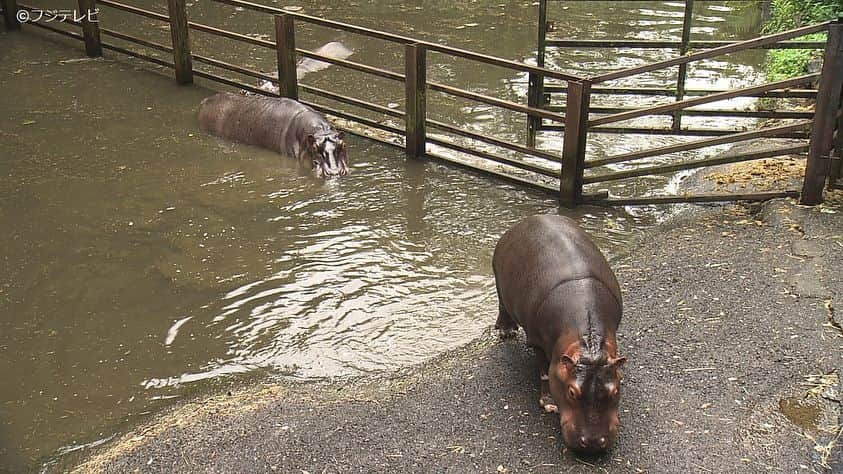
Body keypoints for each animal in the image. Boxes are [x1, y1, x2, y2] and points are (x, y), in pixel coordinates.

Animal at [494, 214, 628, 452]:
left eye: (614, 391)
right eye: (572, 392)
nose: (593, 444)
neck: (587, 343)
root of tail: (527, 220)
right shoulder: (536, 341)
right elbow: (545, 372)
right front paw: (548, 404)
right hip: (500, 285)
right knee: (502, 306)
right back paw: (506, 332)